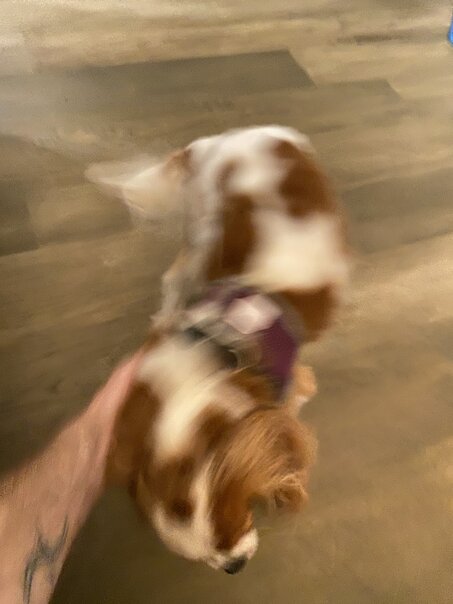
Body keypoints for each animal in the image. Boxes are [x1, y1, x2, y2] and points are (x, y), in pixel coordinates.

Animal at [87, 126, 349, 573]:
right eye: (214, 551)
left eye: (237, 517)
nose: (233, 565)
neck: (220, 345)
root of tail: (232, 137)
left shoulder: (291, 383)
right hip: (202, 222)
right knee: (177, 271)